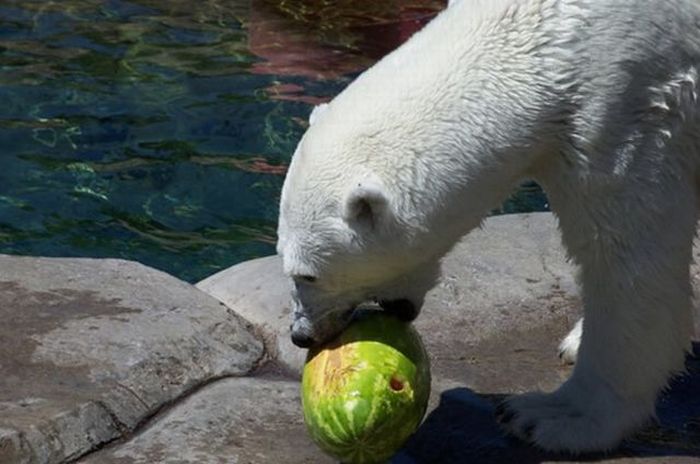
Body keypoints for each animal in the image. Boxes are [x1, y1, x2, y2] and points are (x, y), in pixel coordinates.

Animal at [274, 0, 700, 454]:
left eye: (307, 273)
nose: (301, 334)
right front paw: (576, 341)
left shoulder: (629, 104)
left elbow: (626, 252)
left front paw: (552, 416)